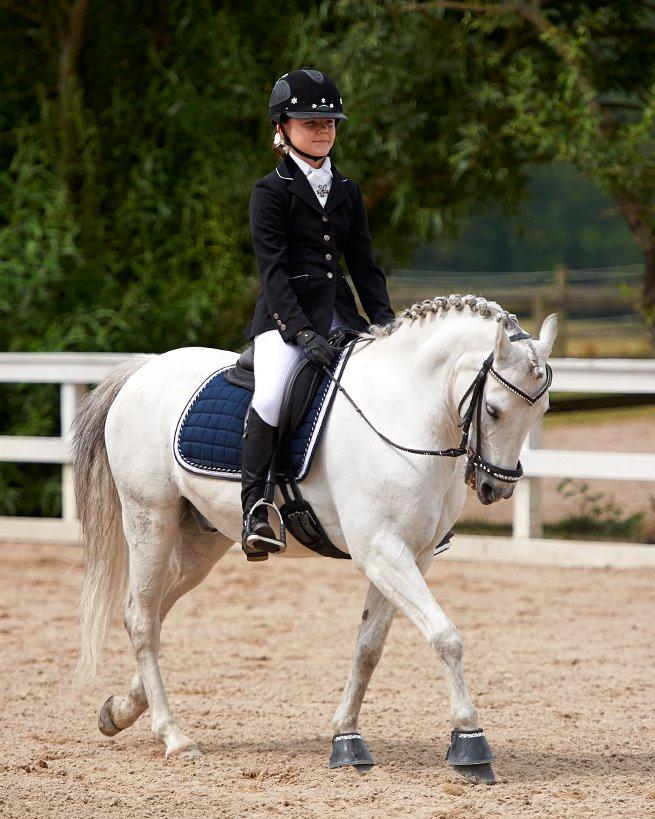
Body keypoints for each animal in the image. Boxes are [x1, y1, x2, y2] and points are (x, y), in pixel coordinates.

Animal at [72, 293, 557, 783]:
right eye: (493, 409)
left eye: (541, 412)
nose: (497, 488)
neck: (400, 409)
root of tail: (146, 368)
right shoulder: (382, 550)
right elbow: (445, 636)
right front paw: (470, 742)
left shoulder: (413, 556)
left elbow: (368, 648)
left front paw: (346, 738)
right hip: (149, 517)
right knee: (141, 618)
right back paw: (174, 737)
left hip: (200, 542)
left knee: (153, 611)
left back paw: (119, 711)